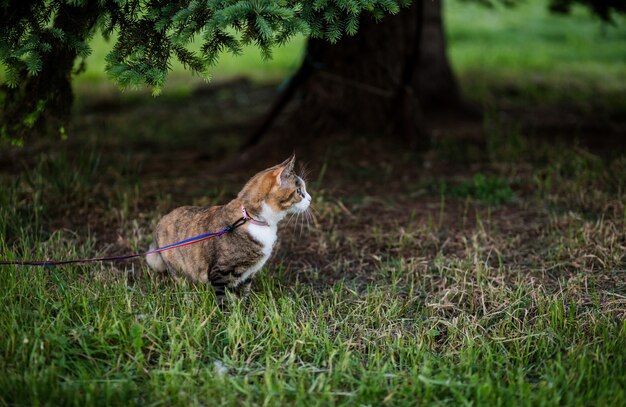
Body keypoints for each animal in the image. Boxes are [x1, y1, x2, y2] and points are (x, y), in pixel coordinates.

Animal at [144, 156, 310, 300]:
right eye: (299, 191)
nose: (310, 199)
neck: (251, 217)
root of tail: (161, 221)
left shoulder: (247, 273)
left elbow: (244, 291)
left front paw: (244, 309)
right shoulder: (220, 272)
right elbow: (222, 298)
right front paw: (227, 313)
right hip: (176, 266)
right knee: (181, 281)